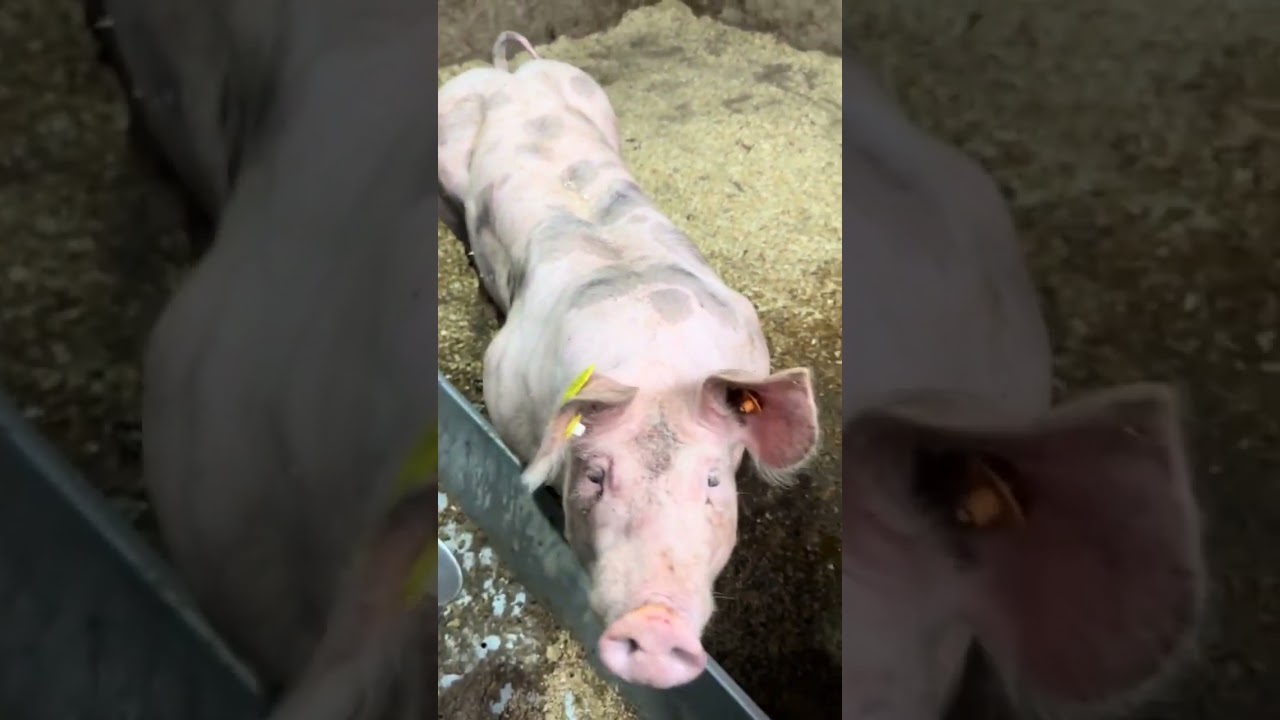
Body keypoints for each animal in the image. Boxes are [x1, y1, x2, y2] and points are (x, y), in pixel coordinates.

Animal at [437, 32, 822, 690]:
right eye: (596, 475)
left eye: (712, 481)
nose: (655, 622)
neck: (656, 361)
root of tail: (507, 76)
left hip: (594, 96)